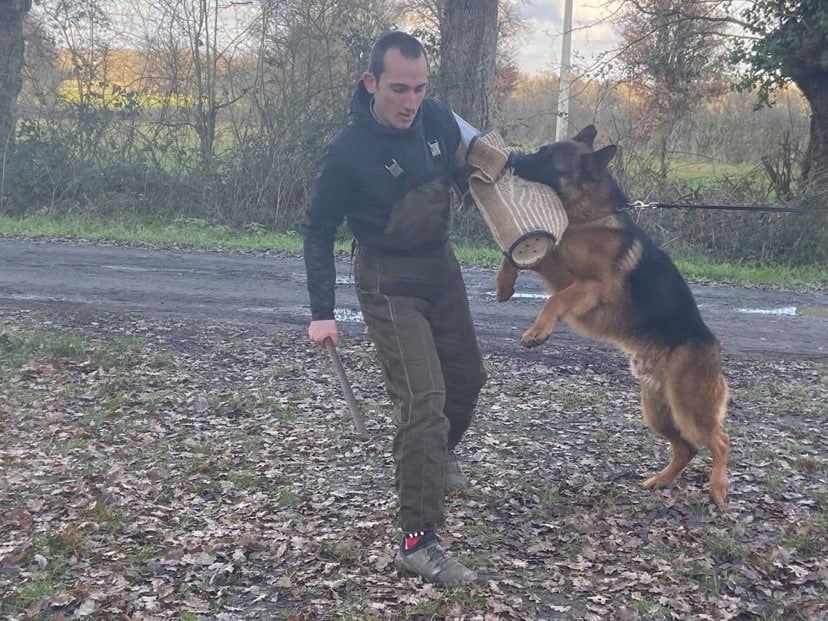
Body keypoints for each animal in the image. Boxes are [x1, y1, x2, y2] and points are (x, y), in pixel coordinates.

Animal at [494, 124, 728, 504]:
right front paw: (503, 285)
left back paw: (718, 487)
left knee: (720, 441)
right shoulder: (555, 260)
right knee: (687, 448)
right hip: (658, 412)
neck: (588, 217)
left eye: (545, 156)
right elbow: (517, 254)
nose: (512, 157)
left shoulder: (590, 286)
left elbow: (555, 301)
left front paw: (537, 332)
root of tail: (712, 344)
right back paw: (662, 480)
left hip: (689, 409)